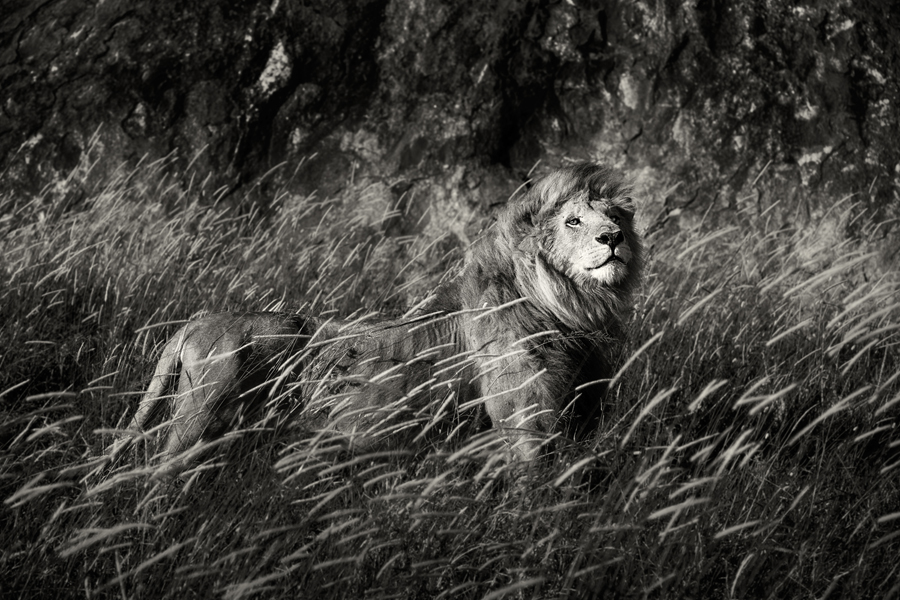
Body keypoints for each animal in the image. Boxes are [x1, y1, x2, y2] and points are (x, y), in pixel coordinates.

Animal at [109, 163, 642, 471]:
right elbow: (532, 467)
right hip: (201, 415)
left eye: (615, 215)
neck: (571, 307)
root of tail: (195, 322)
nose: (613, 237)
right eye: (573, 220)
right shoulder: (521, 409)